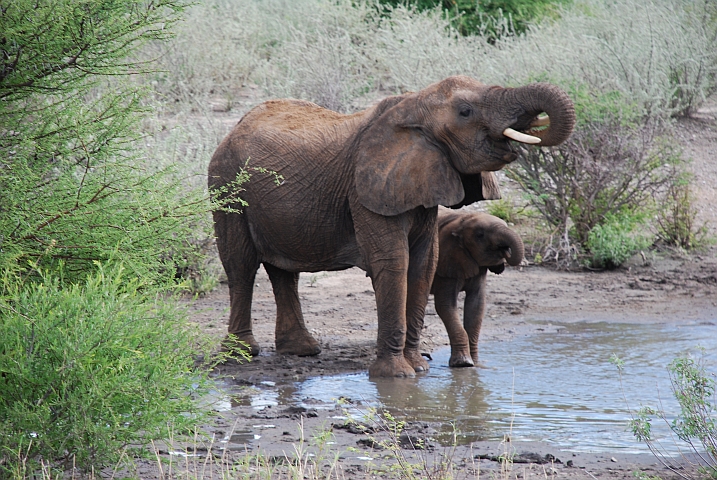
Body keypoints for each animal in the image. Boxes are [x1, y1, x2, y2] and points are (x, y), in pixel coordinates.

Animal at [428, 206, 524, 368]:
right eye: (480, 235)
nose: (505, 251)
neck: (461, 220)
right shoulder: (445, 262)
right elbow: (445, 306)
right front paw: (463, 363)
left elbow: (476, 305)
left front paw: (476, 364)